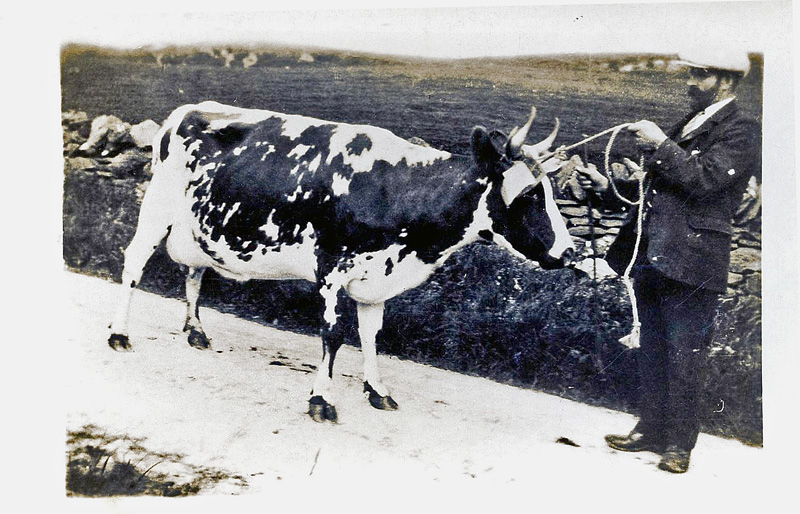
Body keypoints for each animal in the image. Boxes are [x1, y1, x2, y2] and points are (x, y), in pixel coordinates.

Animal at [107, 101, 574, 422]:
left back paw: (196, 331)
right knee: (133, 266)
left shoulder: (377, 280)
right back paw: (119, 334)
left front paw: (377, 389)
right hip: (157, 209)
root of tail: (187, 111)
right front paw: (322, 399)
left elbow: (371, 336)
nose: (570, 252)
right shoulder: (331, 270)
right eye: (531, 194)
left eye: (549, 191)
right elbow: (333, 336)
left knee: (194, 270)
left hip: (199, 228)